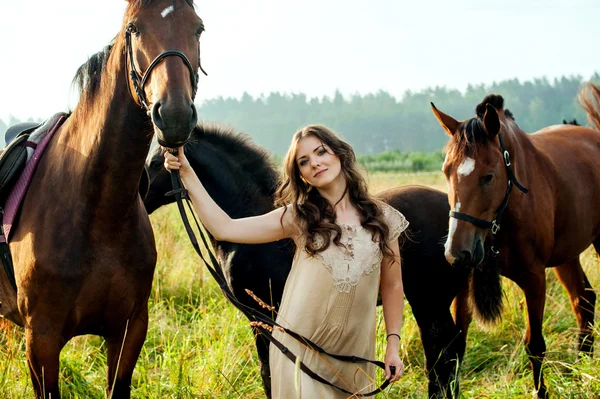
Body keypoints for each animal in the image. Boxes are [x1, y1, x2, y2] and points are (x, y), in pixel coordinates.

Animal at [0, 1, 204, 398]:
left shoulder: (128, 330)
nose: (173, 116)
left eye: (198, 28)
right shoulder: (41, 341)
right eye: (134, 28)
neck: (97, 211)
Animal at [432, 83, 600, 398]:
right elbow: (457, 344)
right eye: (447, 171)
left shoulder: (534, 279)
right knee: (583, 299)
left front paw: (541, 391)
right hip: (567, 254)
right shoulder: (465, 281)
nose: (456, 253)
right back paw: (580, 368)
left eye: (488, 176)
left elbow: (535, 344)